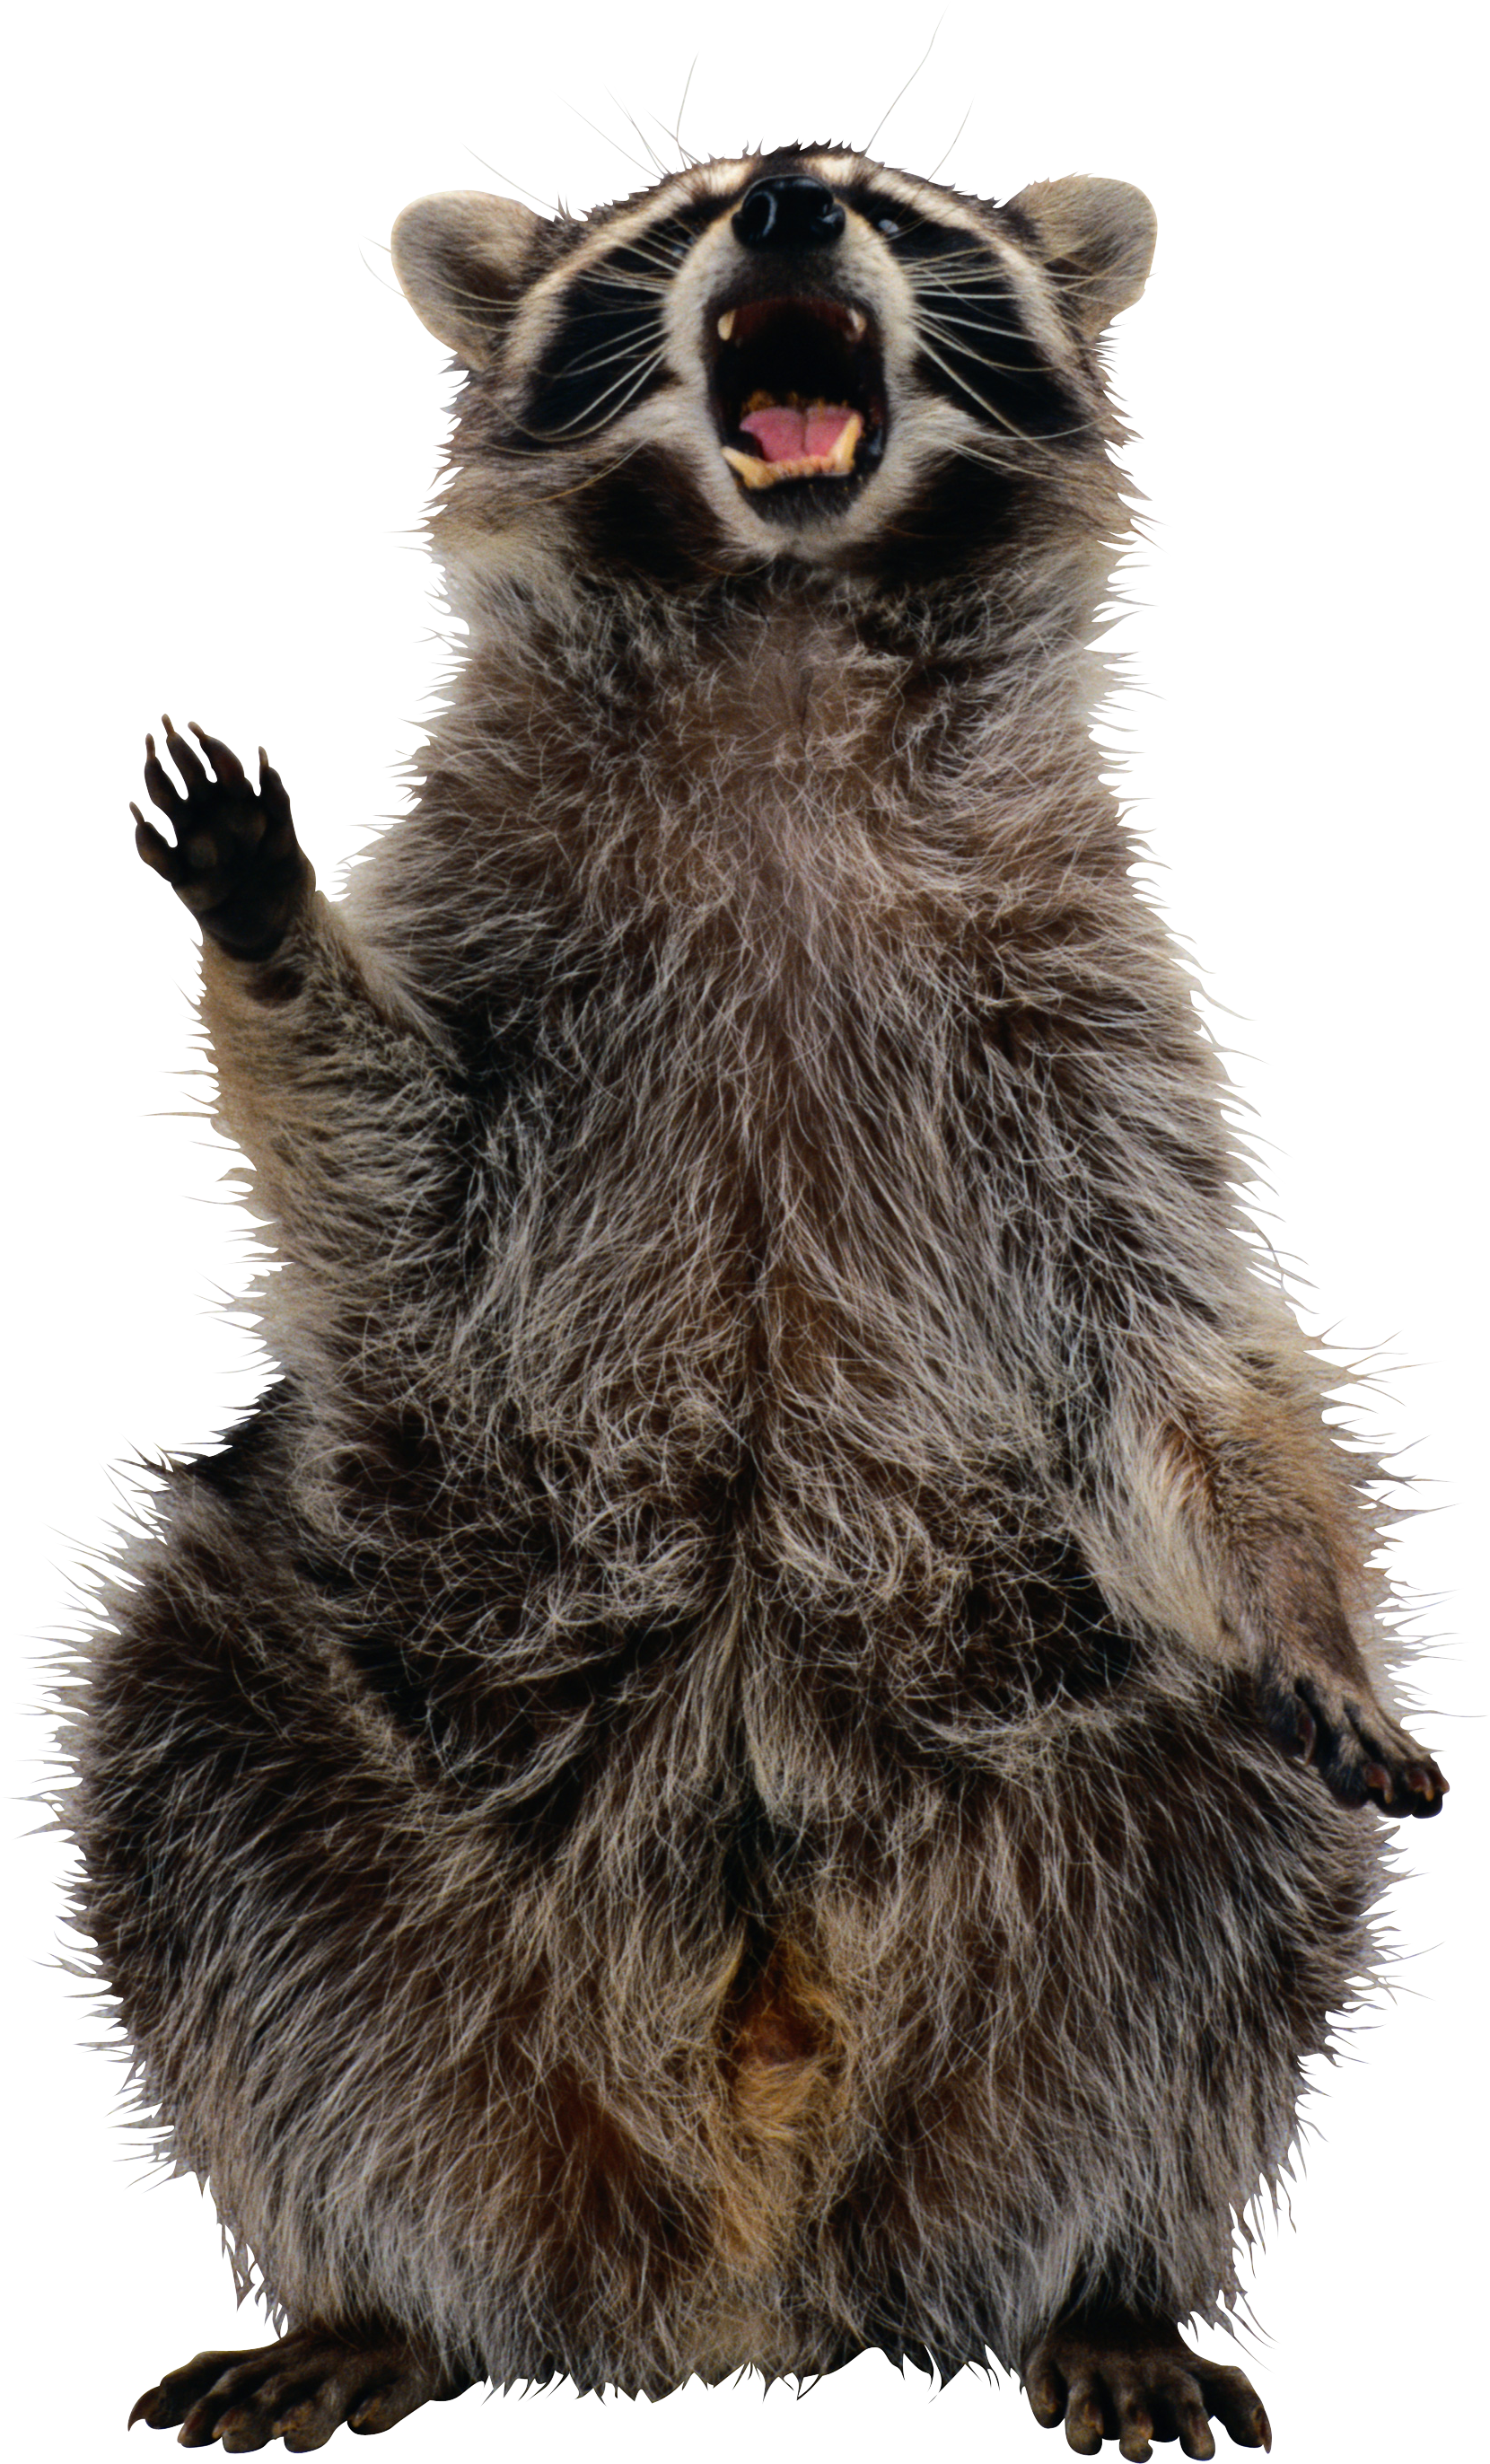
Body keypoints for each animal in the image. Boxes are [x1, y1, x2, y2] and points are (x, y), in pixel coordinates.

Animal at [66, 145, 1446, 2457]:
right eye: (670, 224)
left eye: (908, 214)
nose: (796, 199)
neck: (782, 633)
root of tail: (737, 2265)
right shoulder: (507, 944)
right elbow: (387, 1188)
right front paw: (272, 938)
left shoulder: (1077, 1009)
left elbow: (1180, 1347)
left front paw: (1302, 1599)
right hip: (334, 1773)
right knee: (182, 1770)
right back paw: (372, 2278)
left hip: (1087, 1813)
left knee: (1227, 1880)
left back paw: (1117, 2267)